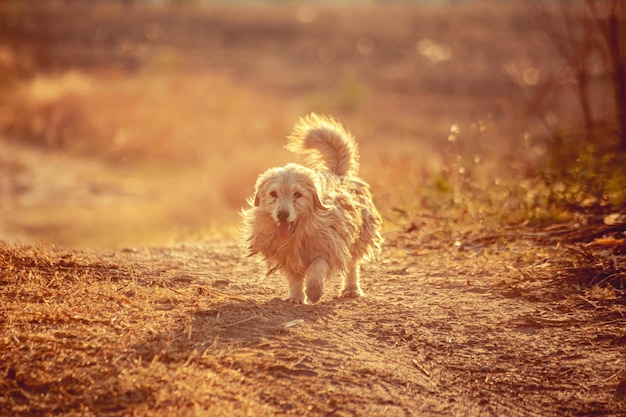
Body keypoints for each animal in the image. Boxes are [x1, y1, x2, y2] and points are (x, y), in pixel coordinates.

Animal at [241, 113, 382, 302]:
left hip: (358, 237)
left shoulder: (329, 247)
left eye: (297, 194)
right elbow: (294, 278)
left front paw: (314, 290)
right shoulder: (288, 257)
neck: (298, 233)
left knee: (352, 265)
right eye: (273, 194)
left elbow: (318, 266)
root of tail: (337, 173)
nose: (282, 215)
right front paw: (296, 297)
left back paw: (351, 289)